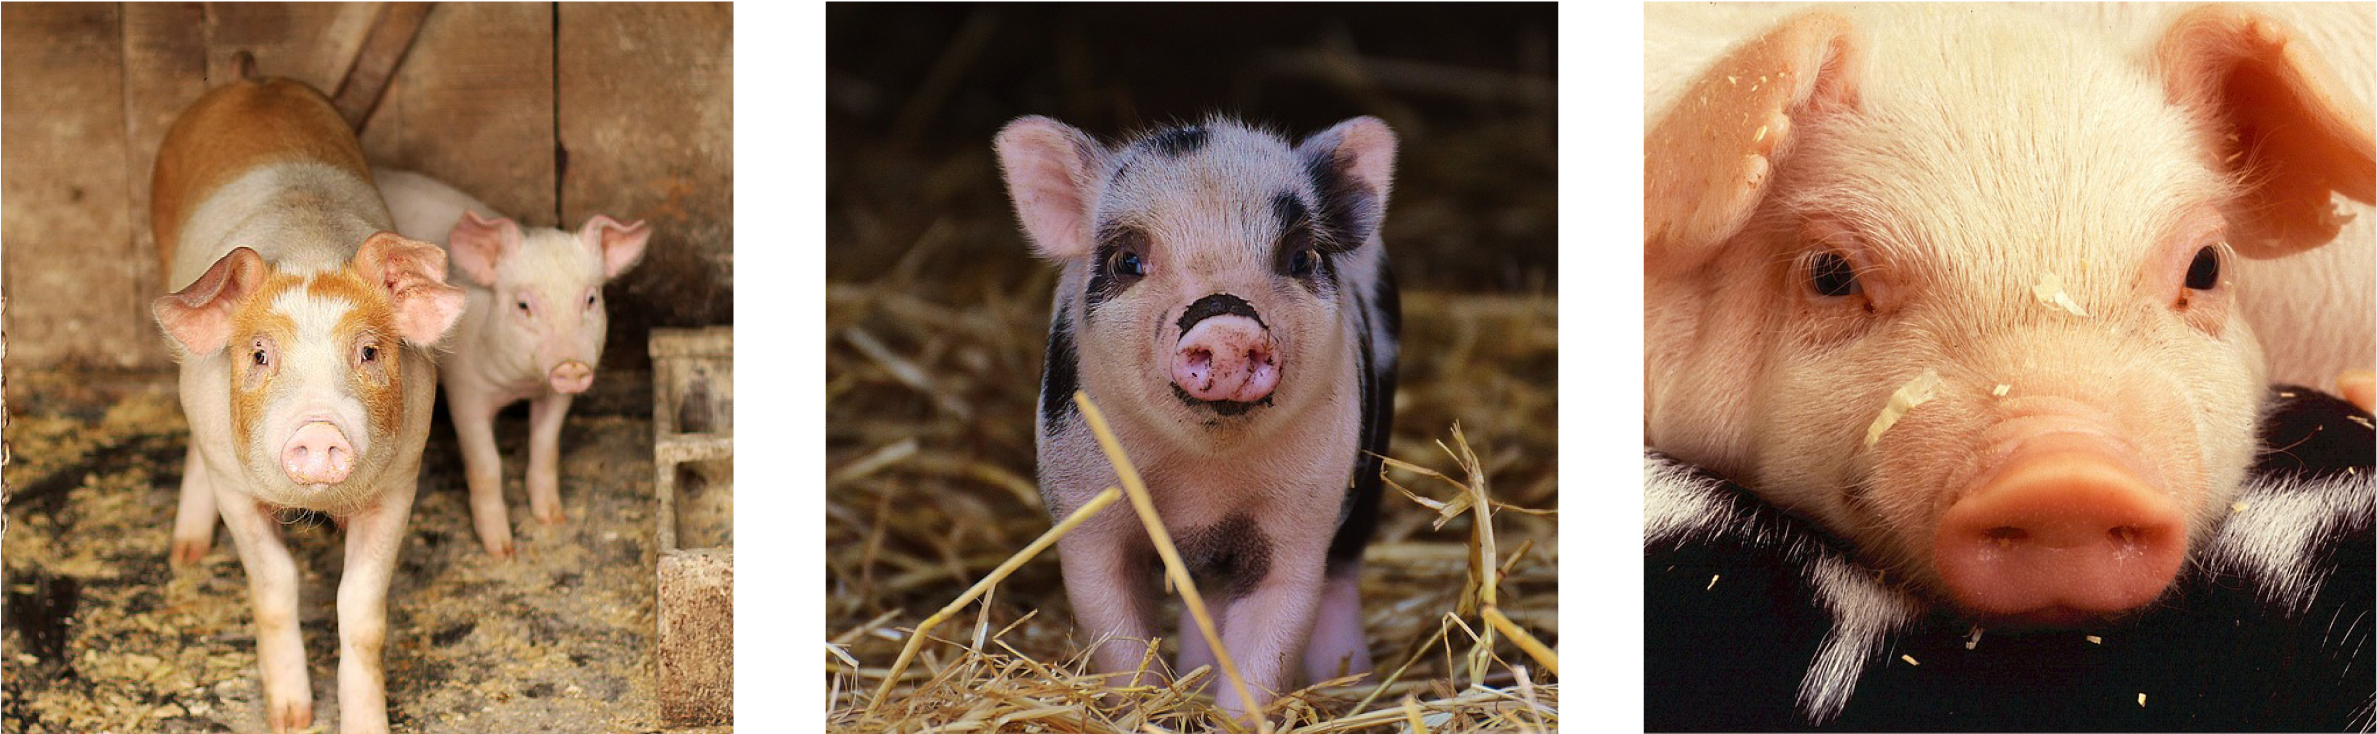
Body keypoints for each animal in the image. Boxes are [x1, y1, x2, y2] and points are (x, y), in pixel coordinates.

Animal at [152, 77, 465, 733]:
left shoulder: (402, 481)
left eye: (369, 351)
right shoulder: (234, 486)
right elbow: (275, 586)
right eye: (260, 354)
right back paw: (187, 552)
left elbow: (361, 609)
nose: (320, 429)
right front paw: (291, 718)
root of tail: (252, 78)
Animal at [372, 167, 649, 557]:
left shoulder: (555, 395)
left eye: (591, 299)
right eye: (523, 305)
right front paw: (501, 550)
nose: (571, 366)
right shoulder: (465, 391)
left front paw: (553, 518)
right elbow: (487, 463)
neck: (520, 384)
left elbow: (546, 446)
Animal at [996, 114, 1400, 718]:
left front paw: (1231, 717)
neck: (1202, 483)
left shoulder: (1300, 519)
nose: (1226, 322)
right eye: (1128, 261)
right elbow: (1116, 635)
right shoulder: (1084, 507)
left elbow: (1270, 638)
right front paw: (1148, 711)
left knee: (1341, 575)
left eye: (1300, 257)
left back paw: (1349, 686)